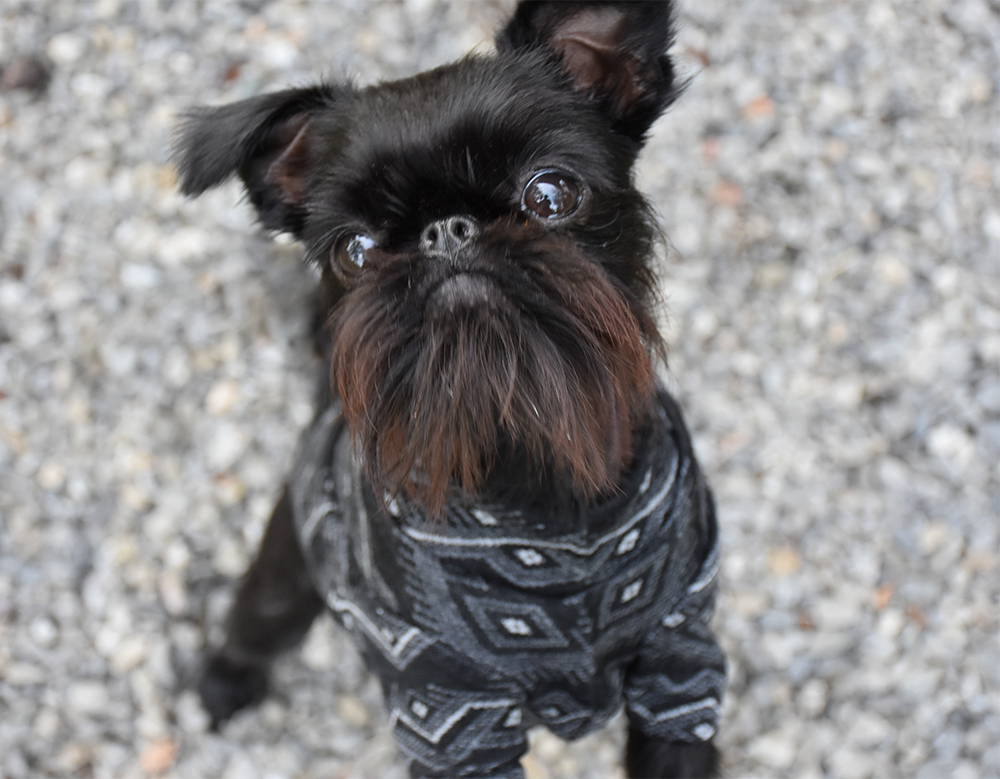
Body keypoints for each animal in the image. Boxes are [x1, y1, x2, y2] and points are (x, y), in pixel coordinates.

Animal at [176, 1, 728, 779]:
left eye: (550, 194)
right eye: (355, 251)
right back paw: (224, 684)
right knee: (253, 623)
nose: (446, 232)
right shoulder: (448, 712)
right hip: (287, 566)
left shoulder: (681, 665)